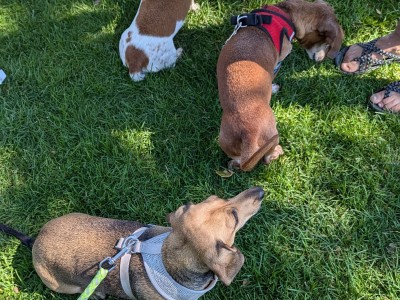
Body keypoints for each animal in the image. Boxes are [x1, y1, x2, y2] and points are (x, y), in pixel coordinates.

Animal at [0, 188, 266, 300]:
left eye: (218, 197)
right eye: (234, 217)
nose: (260, 190)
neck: (169, 258)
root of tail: (34, 241)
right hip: (63, 286)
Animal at [216, 0, 344, 171]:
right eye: (328, 44)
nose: (321, 61)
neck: (287, 12)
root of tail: (248, 136)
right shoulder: (280, 58)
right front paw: (273, 88)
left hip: (227, 142)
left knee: (236, 161)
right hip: (272, 135)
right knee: (267, 158)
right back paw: (277, 152)